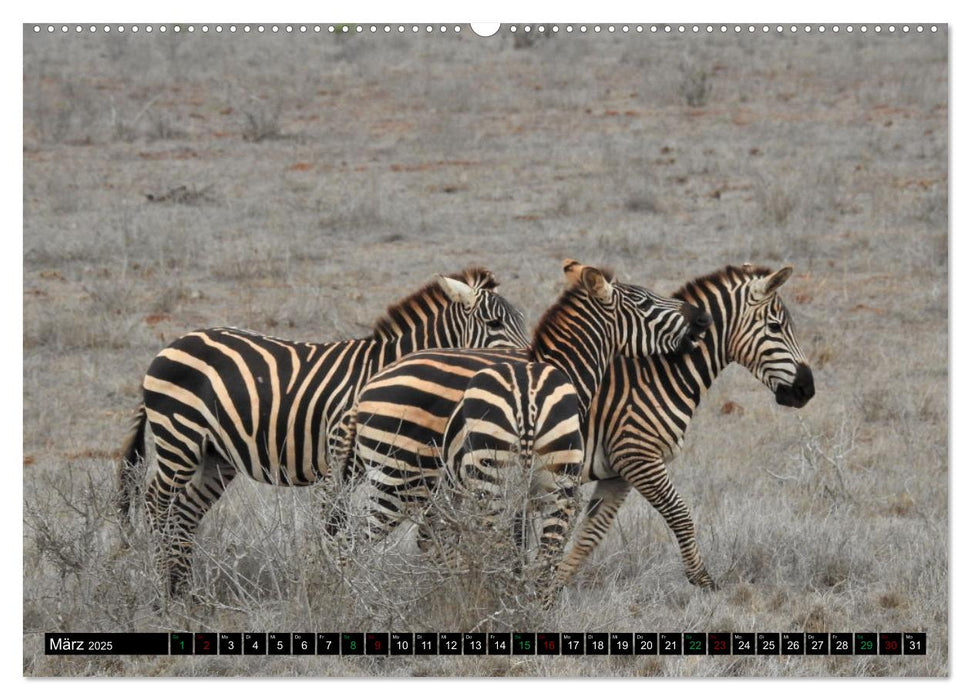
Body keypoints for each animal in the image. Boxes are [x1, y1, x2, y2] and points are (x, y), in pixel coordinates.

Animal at [346, 260, 712, 600]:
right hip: (403, 478)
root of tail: (373, 382)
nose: (703, 318)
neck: (563, 368)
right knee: (359, 539)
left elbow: (516, 550)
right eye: (645, 301)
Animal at [560, 262, 816, 592]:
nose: (807, 390)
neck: (652, 380)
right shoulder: (637, 458)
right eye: (775, 327)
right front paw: (702, 580)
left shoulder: (617, 472)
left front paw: (550, 585)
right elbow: (680, 514)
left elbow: (591, 532)